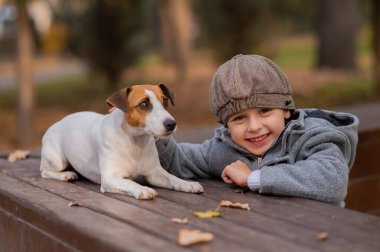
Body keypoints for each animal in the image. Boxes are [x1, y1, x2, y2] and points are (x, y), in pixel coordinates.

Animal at [40, 83, 203, 200]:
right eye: (144, 104)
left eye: (165, 101)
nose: (171, 124)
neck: (135, 142)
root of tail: (57, 122)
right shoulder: (110, 178)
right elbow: (129, 182)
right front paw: (142, 189)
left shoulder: (155, 174)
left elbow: (173, 178)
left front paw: (187, 184)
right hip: (58, 160)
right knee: (44, 172)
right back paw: (65, 175)